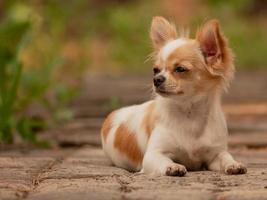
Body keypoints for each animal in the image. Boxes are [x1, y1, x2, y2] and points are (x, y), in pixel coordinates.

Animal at [100, 17, 247, 177]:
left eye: (180, 69)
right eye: (155, 70)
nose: (156, 79)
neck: (189, 114)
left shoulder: (215, 154)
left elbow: (225, 156)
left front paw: (234, 164)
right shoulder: (153, 155)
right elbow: (164, 161)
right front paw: (173, 167)